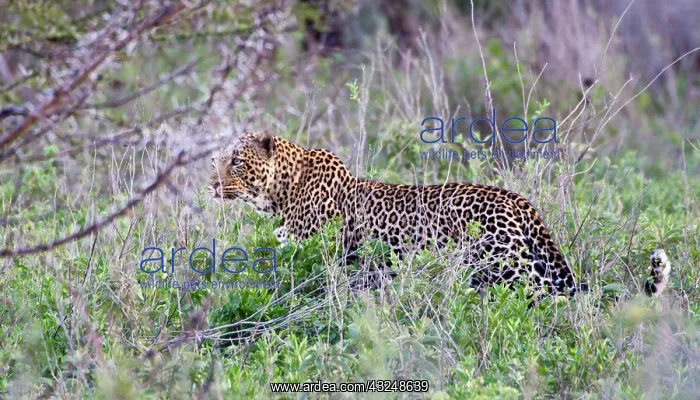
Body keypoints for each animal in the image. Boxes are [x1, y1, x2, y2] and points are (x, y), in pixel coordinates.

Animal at [208, 130, 670, 298]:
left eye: (236, 161)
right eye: (219, 160)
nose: (211, 184)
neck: (281, 191)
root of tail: (520, 202)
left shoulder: (310, 259)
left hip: (499, 266)